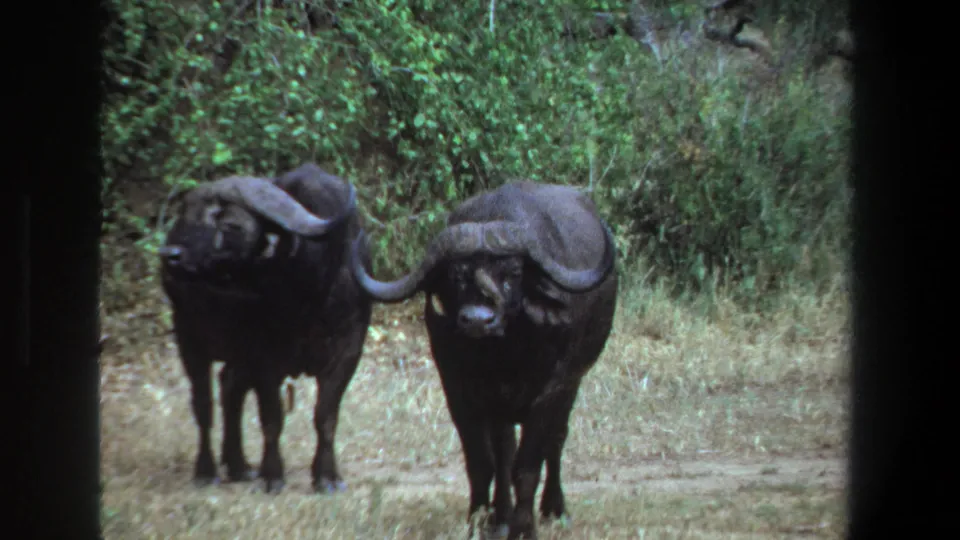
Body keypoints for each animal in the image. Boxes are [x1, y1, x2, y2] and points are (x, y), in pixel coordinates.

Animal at [159, 163, 372, 494]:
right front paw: (273, 475)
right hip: (189, 337)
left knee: (230, 387)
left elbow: (326, 416)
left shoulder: (349, 350)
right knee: (204, 405)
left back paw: (239, 465)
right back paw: (207, 471)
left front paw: (327, 477)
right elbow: (272, 417)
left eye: (230, 224)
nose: (171, 255)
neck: (311, 290)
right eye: (187, 215)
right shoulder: (265, 357)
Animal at [349, 181, 619, 539]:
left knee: (556, 440)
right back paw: (500, 517)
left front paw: (524, 527)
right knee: (504, 451)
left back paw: (554, 508)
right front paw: (479, 520)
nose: (478, 320)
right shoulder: (459, 391)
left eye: (513, 272)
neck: (502, 357)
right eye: (456, 275)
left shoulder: (553, 389)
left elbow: (528, 464)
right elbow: (483, 463)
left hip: (572, 384)